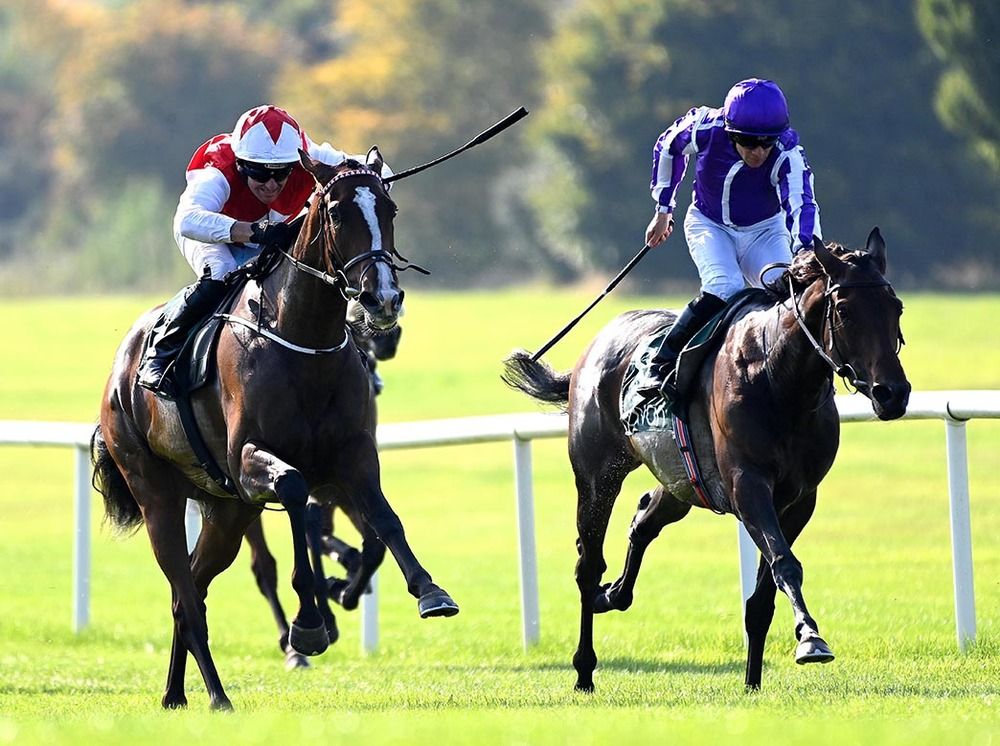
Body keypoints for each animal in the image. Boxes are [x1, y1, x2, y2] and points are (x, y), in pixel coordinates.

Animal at [92, 151, 458, 708]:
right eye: (336, 212)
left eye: (389, 208)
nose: (382, 299)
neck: (304, 342)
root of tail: (121, 367)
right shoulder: (251, 461)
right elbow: (292, 490)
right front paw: (310, 623)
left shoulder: (350, 457)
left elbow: (383, 523)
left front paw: (427, 591)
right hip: (158, 494)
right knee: (187, 592)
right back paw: (218, 696)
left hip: (226, 510)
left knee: (191, 588)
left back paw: (176, 693)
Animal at [504, 228, 912, 692]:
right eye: (844, 310)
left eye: (896, 307)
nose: (892, 393)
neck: (778, 377)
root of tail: (596, 344)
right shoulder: (747, 486)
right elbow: (785, 564)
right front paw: (810, 638)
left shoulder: (799, 499)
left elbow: (764, 593)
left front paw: (753, 681)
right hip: (596, 476)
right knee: (588, 565)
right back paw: (585, 669)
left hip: (681, 481)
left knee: (644, 520)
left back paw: (614, 593)